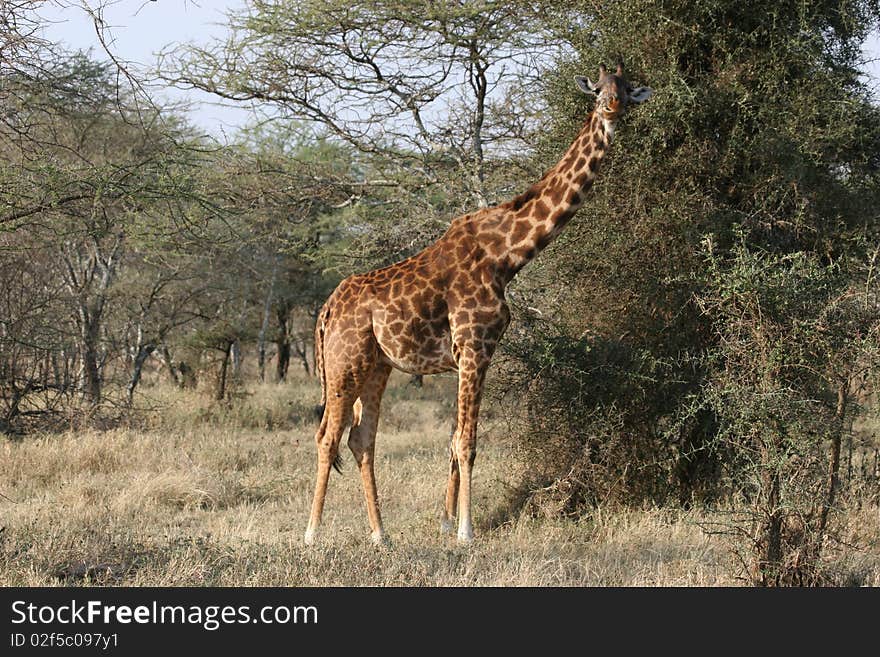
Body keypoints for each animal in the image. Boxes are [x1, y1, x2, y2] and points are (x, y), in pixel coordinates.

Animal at [306, 62, 648, 544]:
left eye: (627, 89)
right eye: (598, 89)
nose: (612, 107)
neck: (506, 255)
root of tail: (325, 312)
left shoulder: (468, 353)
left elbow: (453, 439)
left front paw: (447, 523)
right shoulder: (474, 345)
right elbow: (467, 441)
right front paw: (466, 532)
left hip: (377, 366)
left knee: (360, 438)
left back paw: (381, 534)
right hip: (344, 363)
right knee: (327, 436)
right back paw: (313, 534)